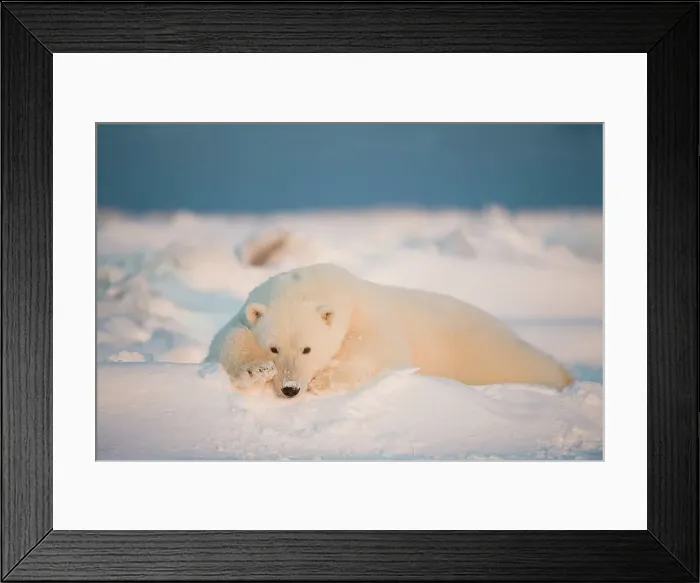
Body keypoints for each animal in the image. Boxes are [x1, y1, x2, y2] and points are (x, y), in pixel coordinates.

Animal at [204, 263, 573, 398]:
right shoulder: (245, 313)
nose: (290, 389)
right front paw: (256, 370)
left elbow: (380, 347)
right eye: (274, 348)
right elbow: (228, 338)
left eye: (307, 349)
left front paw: (325, 380)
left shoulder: (368, 312)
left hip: (483, 349)